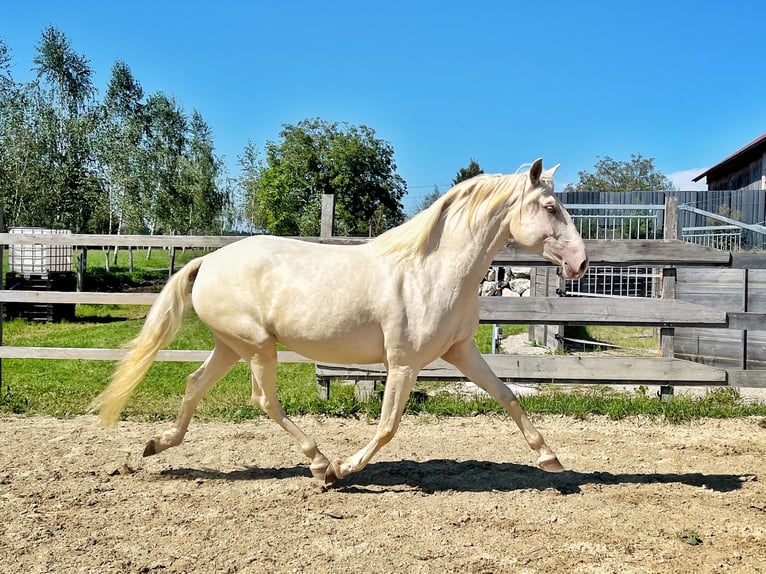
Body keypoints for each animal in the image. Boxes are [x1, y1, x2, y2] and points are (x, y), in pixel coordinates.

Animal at [93, 160, 592, 488]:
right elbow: (388, 425)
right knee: (264, 400)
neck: (431, 269)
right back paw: (320, 464)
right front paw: (347, 468)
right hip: (256, 347)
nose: (581, 263)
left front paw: (549, 457)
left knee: (195, 384)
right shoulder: (404, 363)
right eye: (550, 207)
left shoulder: (461, 351)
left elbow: (507, 396)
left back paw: (156, 445)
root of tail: (208, 261)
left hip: (231, 346)